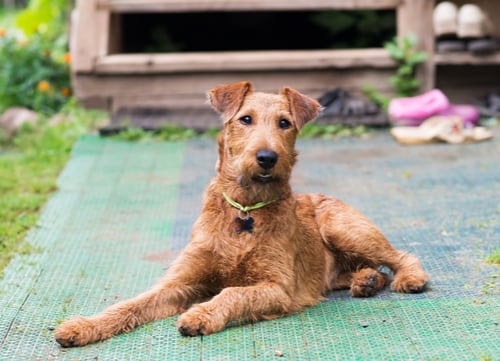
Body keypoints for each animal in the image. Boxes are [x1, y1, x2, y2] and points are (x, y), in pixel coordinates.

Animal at [54, 81, 430, 346]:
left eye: (284, 123)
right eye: (245, 119)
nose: (266, 157)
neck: (245, 209)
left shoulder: (277, 287)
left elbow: (234, 292)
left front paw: (200, 315)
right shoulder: (179, 282)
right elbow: (130, 304)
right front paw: (83, 326)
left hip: (344, 228)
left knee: (399, 256)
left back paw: (407, 278)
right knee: (354, 272)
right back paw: (365, 280)